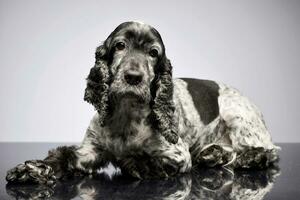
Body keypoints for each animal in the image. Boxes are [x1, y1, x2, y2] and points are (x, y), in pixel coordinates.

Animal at [5, 21, 280, 184]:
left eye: (153, 53)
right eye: (120, 45)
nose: (133, 77)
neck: (126, 113)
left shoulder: (177, 155)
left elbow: (137, 159)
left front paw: (126, 158)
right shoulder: (90, 150)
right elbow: (64, 155)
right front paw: (32, 169)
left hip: (238, 117)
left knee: (268, 150)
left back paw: (250, 158)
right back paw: (213, 154)